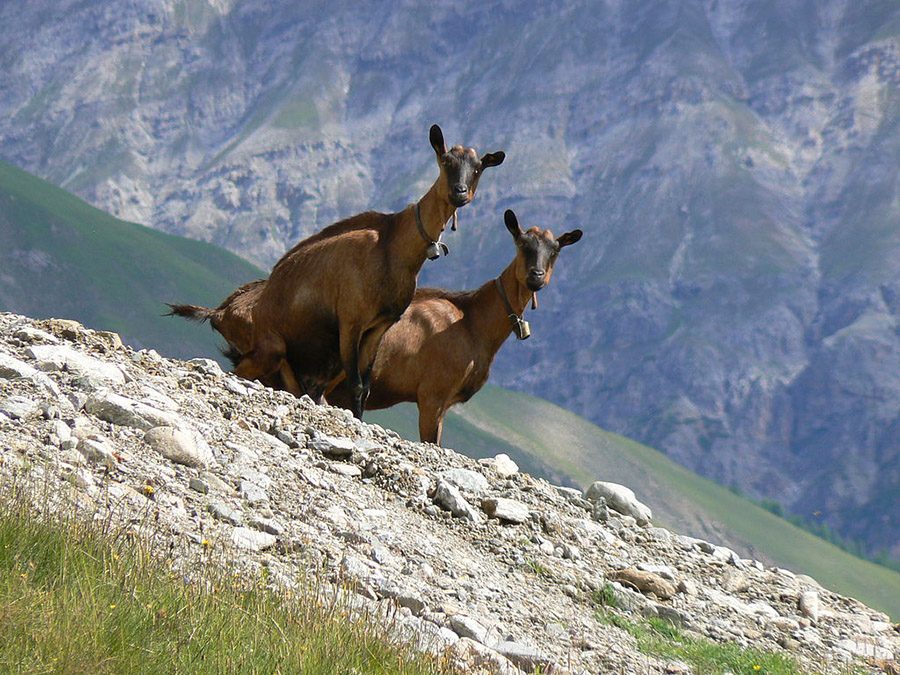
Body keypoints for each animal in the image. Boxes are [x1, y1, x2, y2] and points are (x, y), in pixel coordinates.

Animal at [171, 123, 506, 418]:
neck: (393, 248)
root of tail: (219, 312)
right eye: (446, 161)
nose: (460, 192)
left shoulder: (379, 326)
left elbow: (365, 387)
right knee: (241, 370)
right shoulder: (350, 322)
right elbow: (355, 383)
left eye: (478, 168)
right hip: (271, 348)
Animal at [324, 210, 584, 444]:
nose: (536, 276)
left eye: (555, 250)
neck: (471, 320)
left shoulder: (443, 405)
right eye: (522, 244)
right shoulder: (432, 395)